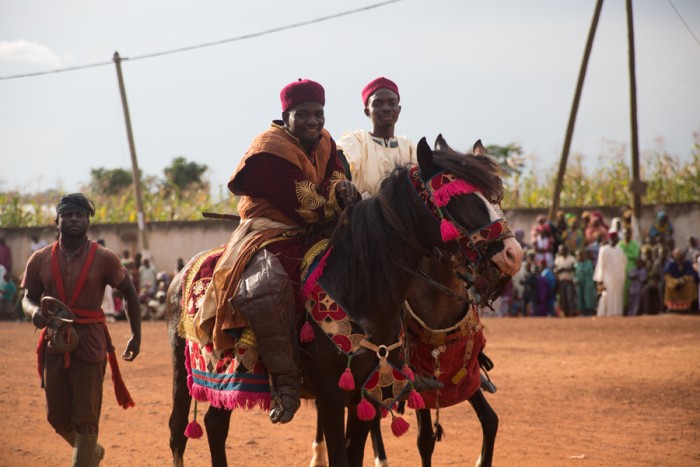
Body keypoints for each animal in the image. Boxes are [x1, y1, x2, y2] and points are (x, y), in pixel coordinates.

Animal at [167, 136, 524, 467]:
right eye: (459, 198)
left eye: (496, 198)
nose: (513, 254)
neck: (363, 293)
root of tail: (182, 273)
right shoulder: (332, 398)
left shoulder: (374, 393)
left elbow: (484, 422)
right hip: (188, 371)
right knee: (179, 431)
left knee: (213, 424)